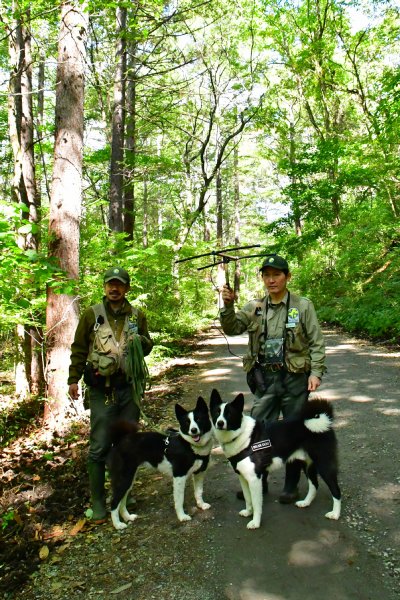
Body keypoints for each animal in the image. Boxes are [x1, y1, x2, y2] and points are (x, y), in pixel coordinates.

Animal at [108, 398, 214, 528]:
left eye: (198, 419)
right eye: (187, 422)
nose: (193, 430)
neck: (189, 446)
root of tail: (120, 440)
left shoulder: (200, 473)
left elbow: (199, 491)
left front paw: (201, 505)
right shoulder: (179, 476)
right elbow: (179, 499)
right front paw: (182, 516)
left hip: (129, 479)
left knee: (122, 500)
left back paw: (127, 517)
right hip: (123, 478)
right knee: (114, 502)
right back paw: (118, 525)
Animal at [209, 386, 340, 528]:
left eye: (229, 414)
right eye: (217, 412)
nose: (220, 423)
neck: (243, 435)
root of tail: (322, 422)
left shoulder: (254, 479)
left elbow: (256, 503)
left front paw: (255, 522)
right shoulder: (243, 477)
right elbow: (248, 498)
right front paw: (248, 512)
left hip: (324, 465)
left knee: (336, 490)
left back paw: (335, 514)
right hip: (307, 464)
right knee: (314, 484)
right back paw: (306, 502)